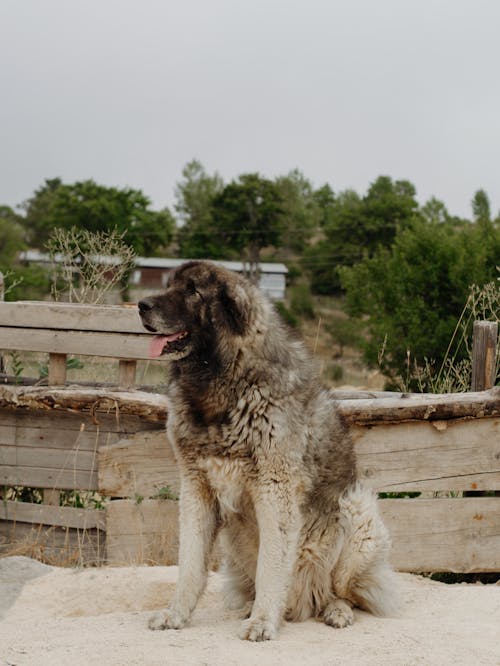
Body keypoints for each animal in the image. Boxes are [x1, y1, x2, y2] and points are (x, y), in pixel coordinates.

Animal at [138, 258, 398, 640]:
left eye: (192, 291)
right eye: (169, 285)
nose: (141, 305)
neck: (225, 382)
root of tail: (304, 605)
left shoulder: (275, 489)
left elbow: (271, 566)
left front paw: (263, 621)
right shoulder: (197, 487)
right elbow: (189, 565)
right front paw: (176, 615)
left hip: (355, 510)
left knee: (341, 592)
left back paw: (335, 610)